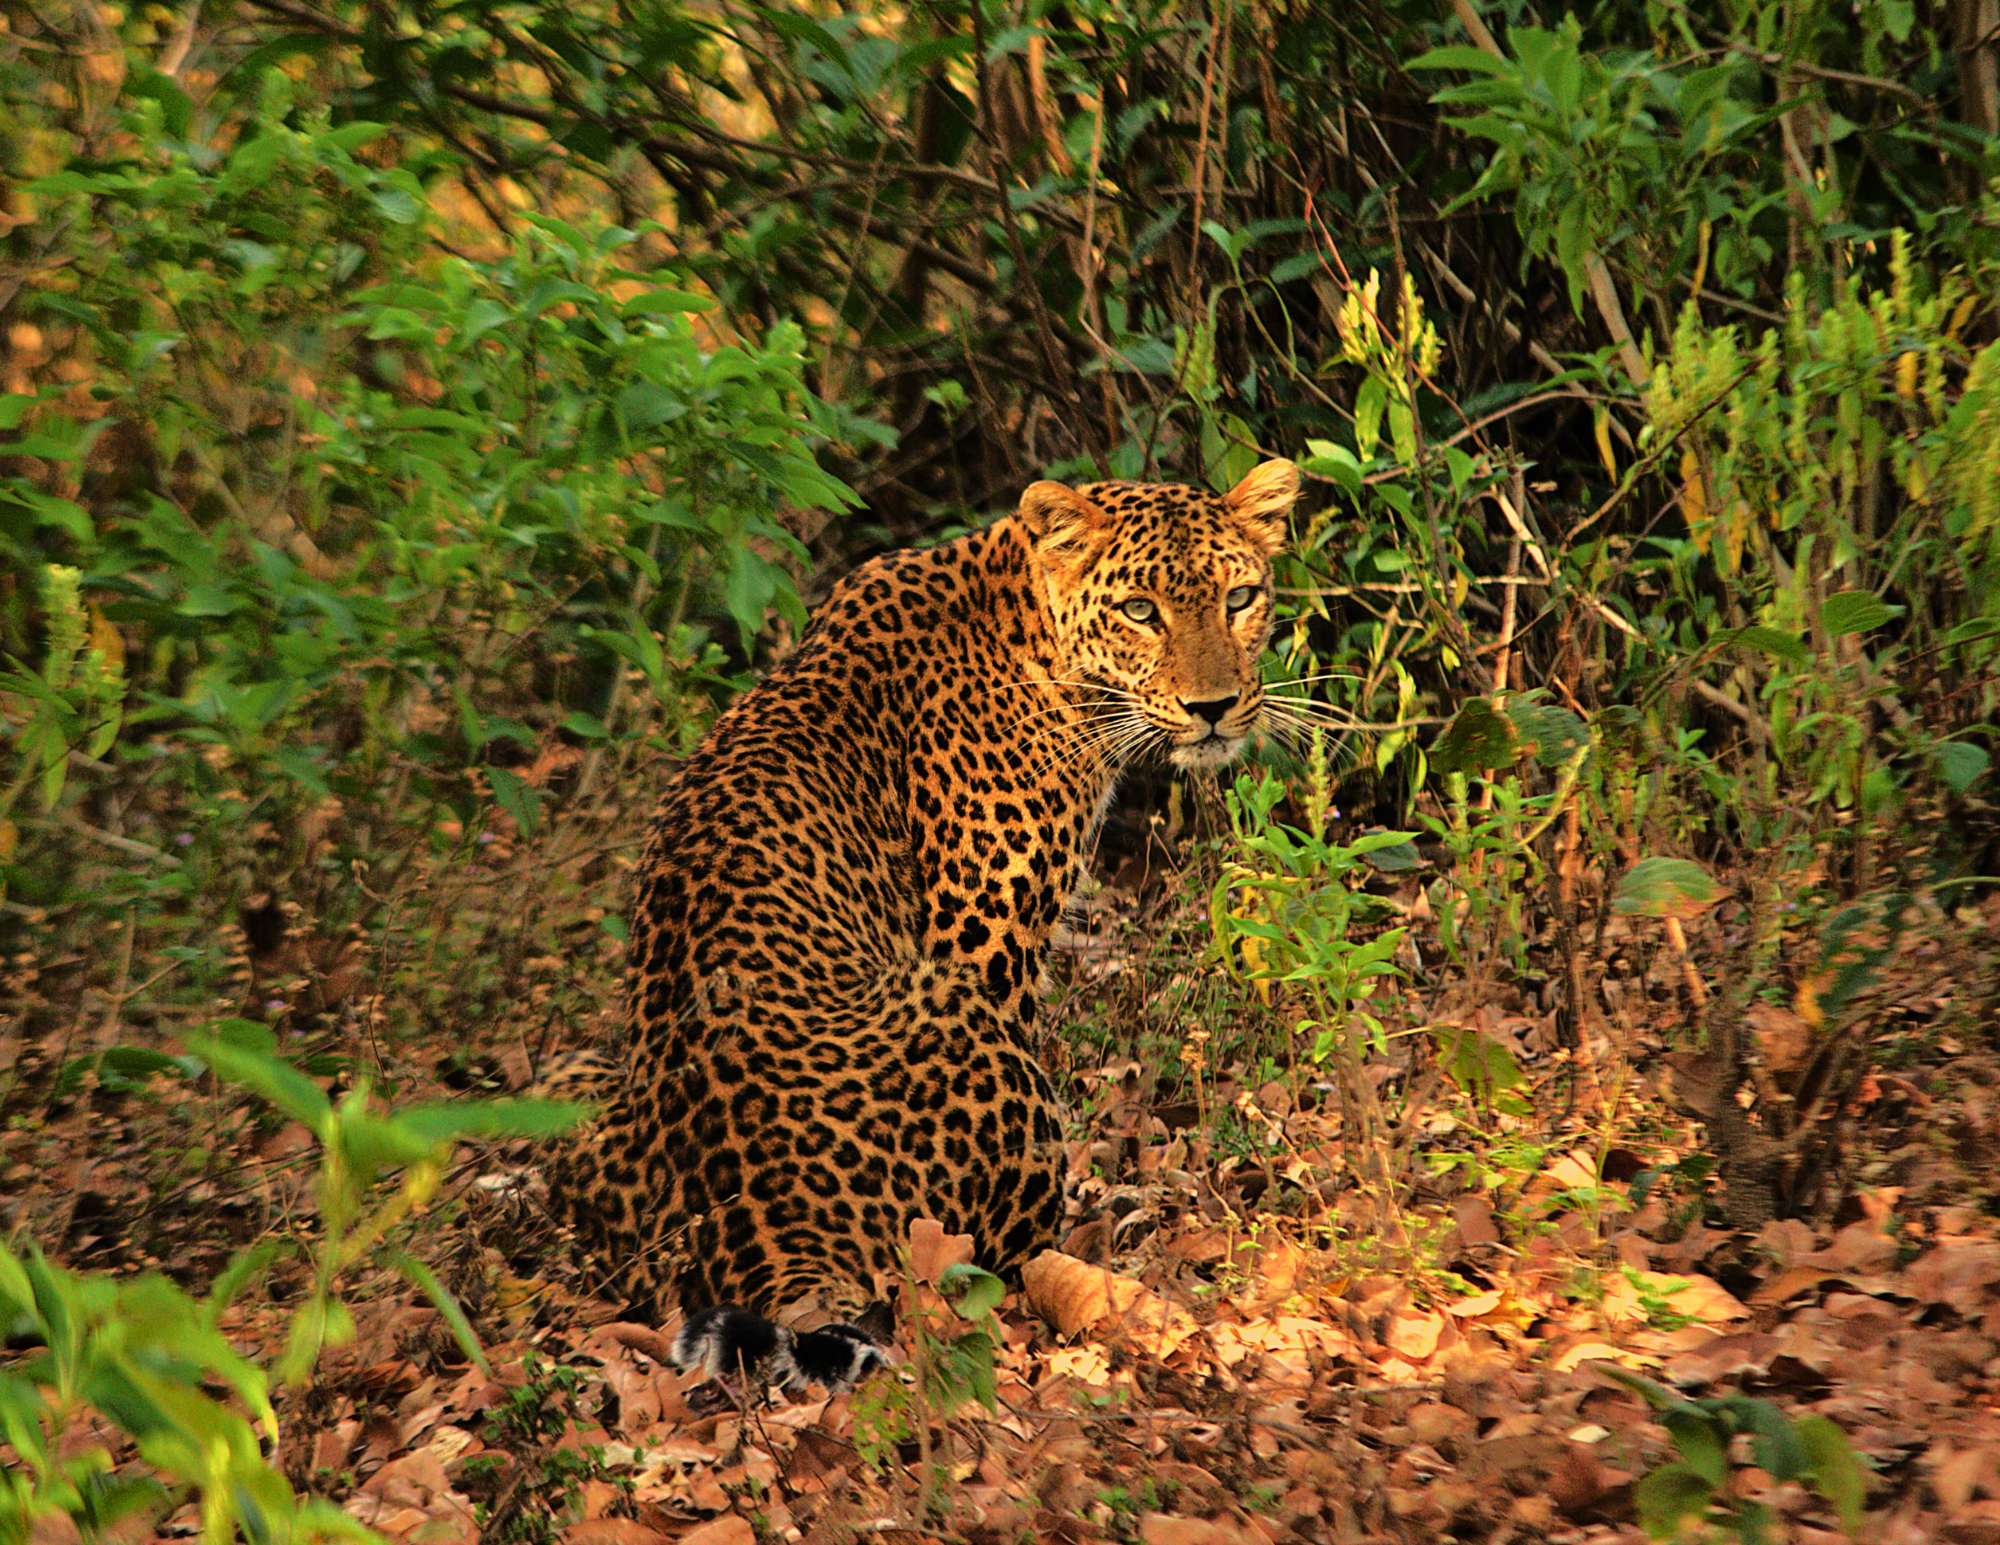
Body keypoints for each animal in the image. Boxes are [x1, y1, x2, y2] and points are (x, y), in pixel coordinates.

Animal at [550, 458, 1301, 1388]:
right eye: (1139, 610)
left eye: (1240, 597)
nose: (1215, 706)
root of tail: (767, 1223)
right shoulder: (983, 937)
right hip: (981, 1041)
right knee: (998, 1249)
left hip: (577, 1091)